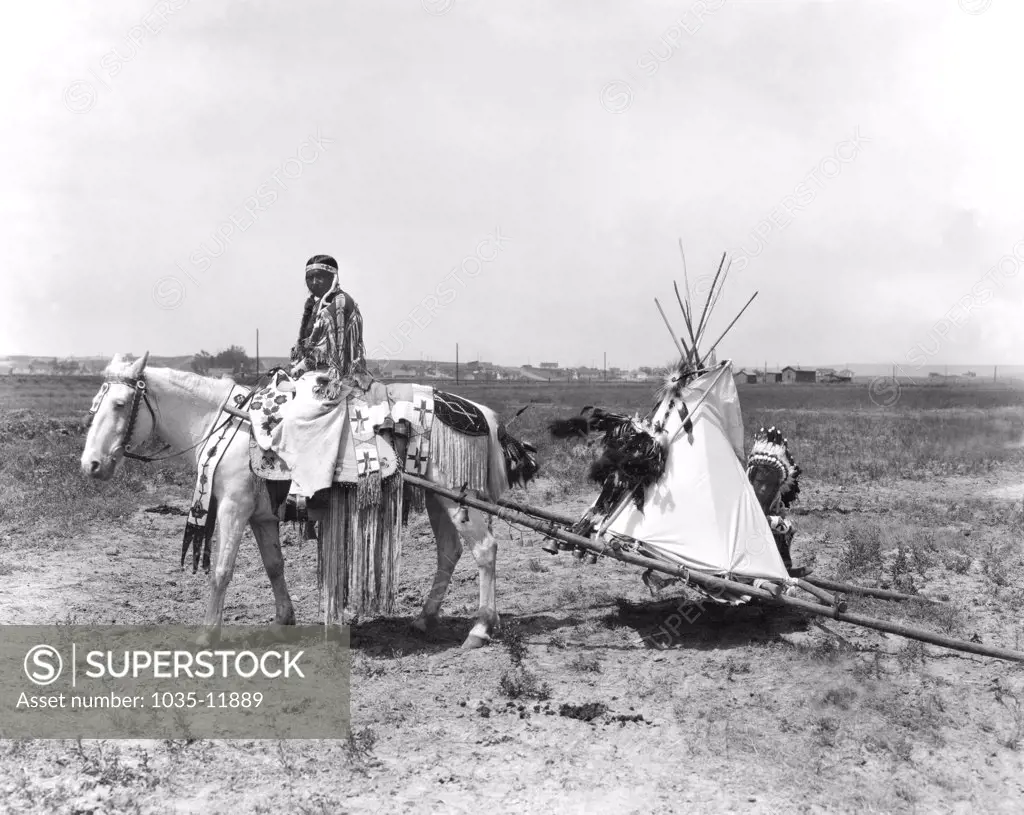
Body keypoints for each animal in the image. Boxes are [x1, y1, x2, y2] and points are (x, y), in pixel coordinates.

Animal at [81, 354, 536, 647]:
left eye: (120, 404)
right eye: (94, 405)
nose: (91, 465)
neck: (230, 423)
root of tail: (482, 415)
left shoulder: (232, 508)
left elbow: (221, 571)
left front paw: (207, 635)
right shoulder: (261, 517)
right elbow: (274, 566)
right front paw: (284, 620)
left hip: (464, 502)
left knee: (485, 550)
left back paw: (480, 629)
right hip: (441, 500)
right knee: (450, 551)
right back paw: (425, 620)